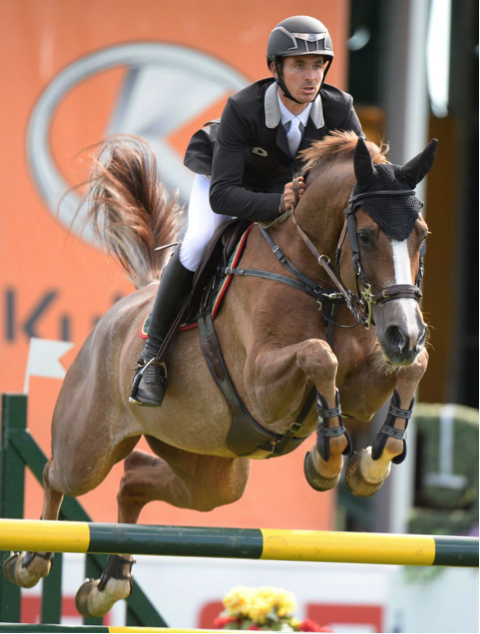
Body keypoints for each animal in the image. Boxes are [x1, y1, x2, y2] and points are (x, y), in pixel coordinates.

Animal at [3, 131, 436, 616]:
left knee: (135, 477)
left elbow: (411, 369)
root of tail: (119, 314)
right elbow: (320, 355)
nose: (404, 333)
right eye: (365, 234)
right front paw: (327, 457)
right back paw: (31, 561)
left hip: (209, 469)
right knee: (56, 474)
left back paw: (108, 584)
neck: (315, 279)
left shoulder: (362, 389)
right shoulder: (262, 387)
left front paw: (371, 465)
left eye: (421, 235)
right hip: (87, 451)